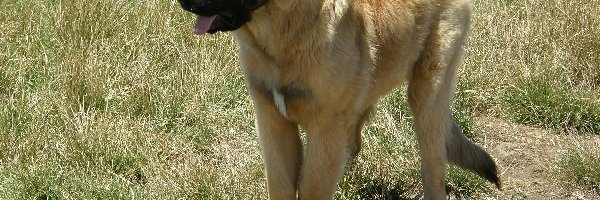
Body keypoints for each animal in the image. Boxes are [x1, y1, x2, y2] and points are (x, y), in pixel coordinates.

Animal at [178, 0, 502, 198]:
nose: (181, 1)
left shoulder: (324, 128)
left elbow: (311, 188)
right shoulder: (274, 122)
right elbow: (282, 187)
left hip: (427, 93)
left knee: (433, 165)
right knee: (354, 142)